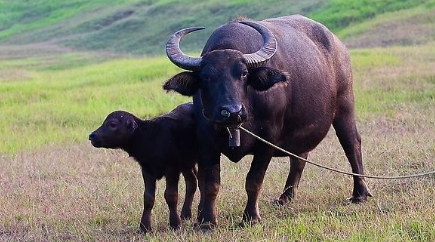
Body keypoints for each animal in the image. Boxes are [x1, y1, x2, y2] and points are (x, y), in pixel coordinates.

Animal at [164, 15, 372, 229]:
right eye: (206, 77)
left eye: (244, 74)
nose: (232, 111)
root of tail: (338, 45)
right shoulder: (205, 139)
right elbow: (210, 183)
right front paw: (206, 221)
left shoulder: (267, 139)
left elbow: (253, 180)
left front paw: (250, 217)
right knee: (299, 157)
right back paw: (286, 197)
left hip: (345, 105)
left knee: (352, 144)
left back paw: (359, 194)